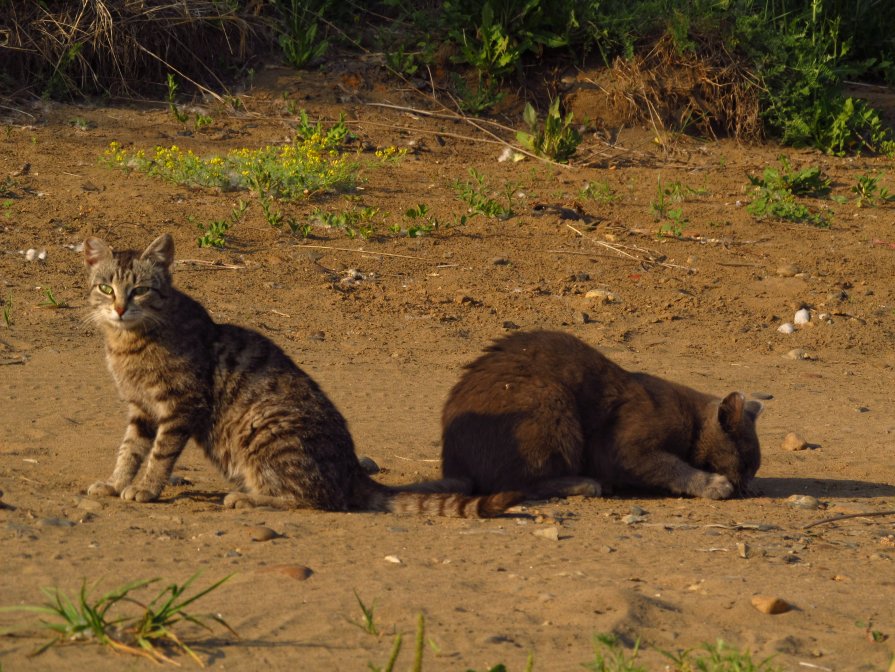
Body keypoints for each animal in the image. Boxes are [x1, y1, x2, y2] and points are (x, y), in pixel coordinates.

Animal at [86, 234, 520, 516]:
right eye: (106, 288)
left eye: (140, 289)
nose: (120, 308)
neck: (128, 343)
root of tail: (351, 469)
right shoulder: (141, 409)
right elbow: (129, 450)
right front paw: (116, 483)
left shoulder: (181, 405)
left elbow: (159, 455)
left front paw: (145, 489)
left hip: (264, 431)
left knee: (317, 500)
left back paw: (248, 498)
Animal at [434, 330, 764, 498]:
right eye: (746, 462)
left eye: (754, 467)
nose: (749, 486)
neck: (693, 422)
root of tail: (452, 463)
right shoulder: (623, 447)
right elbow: (671, 466)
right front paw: (712, 484)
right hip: (550, 398)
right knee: (516, 484)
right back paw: (586, 484)